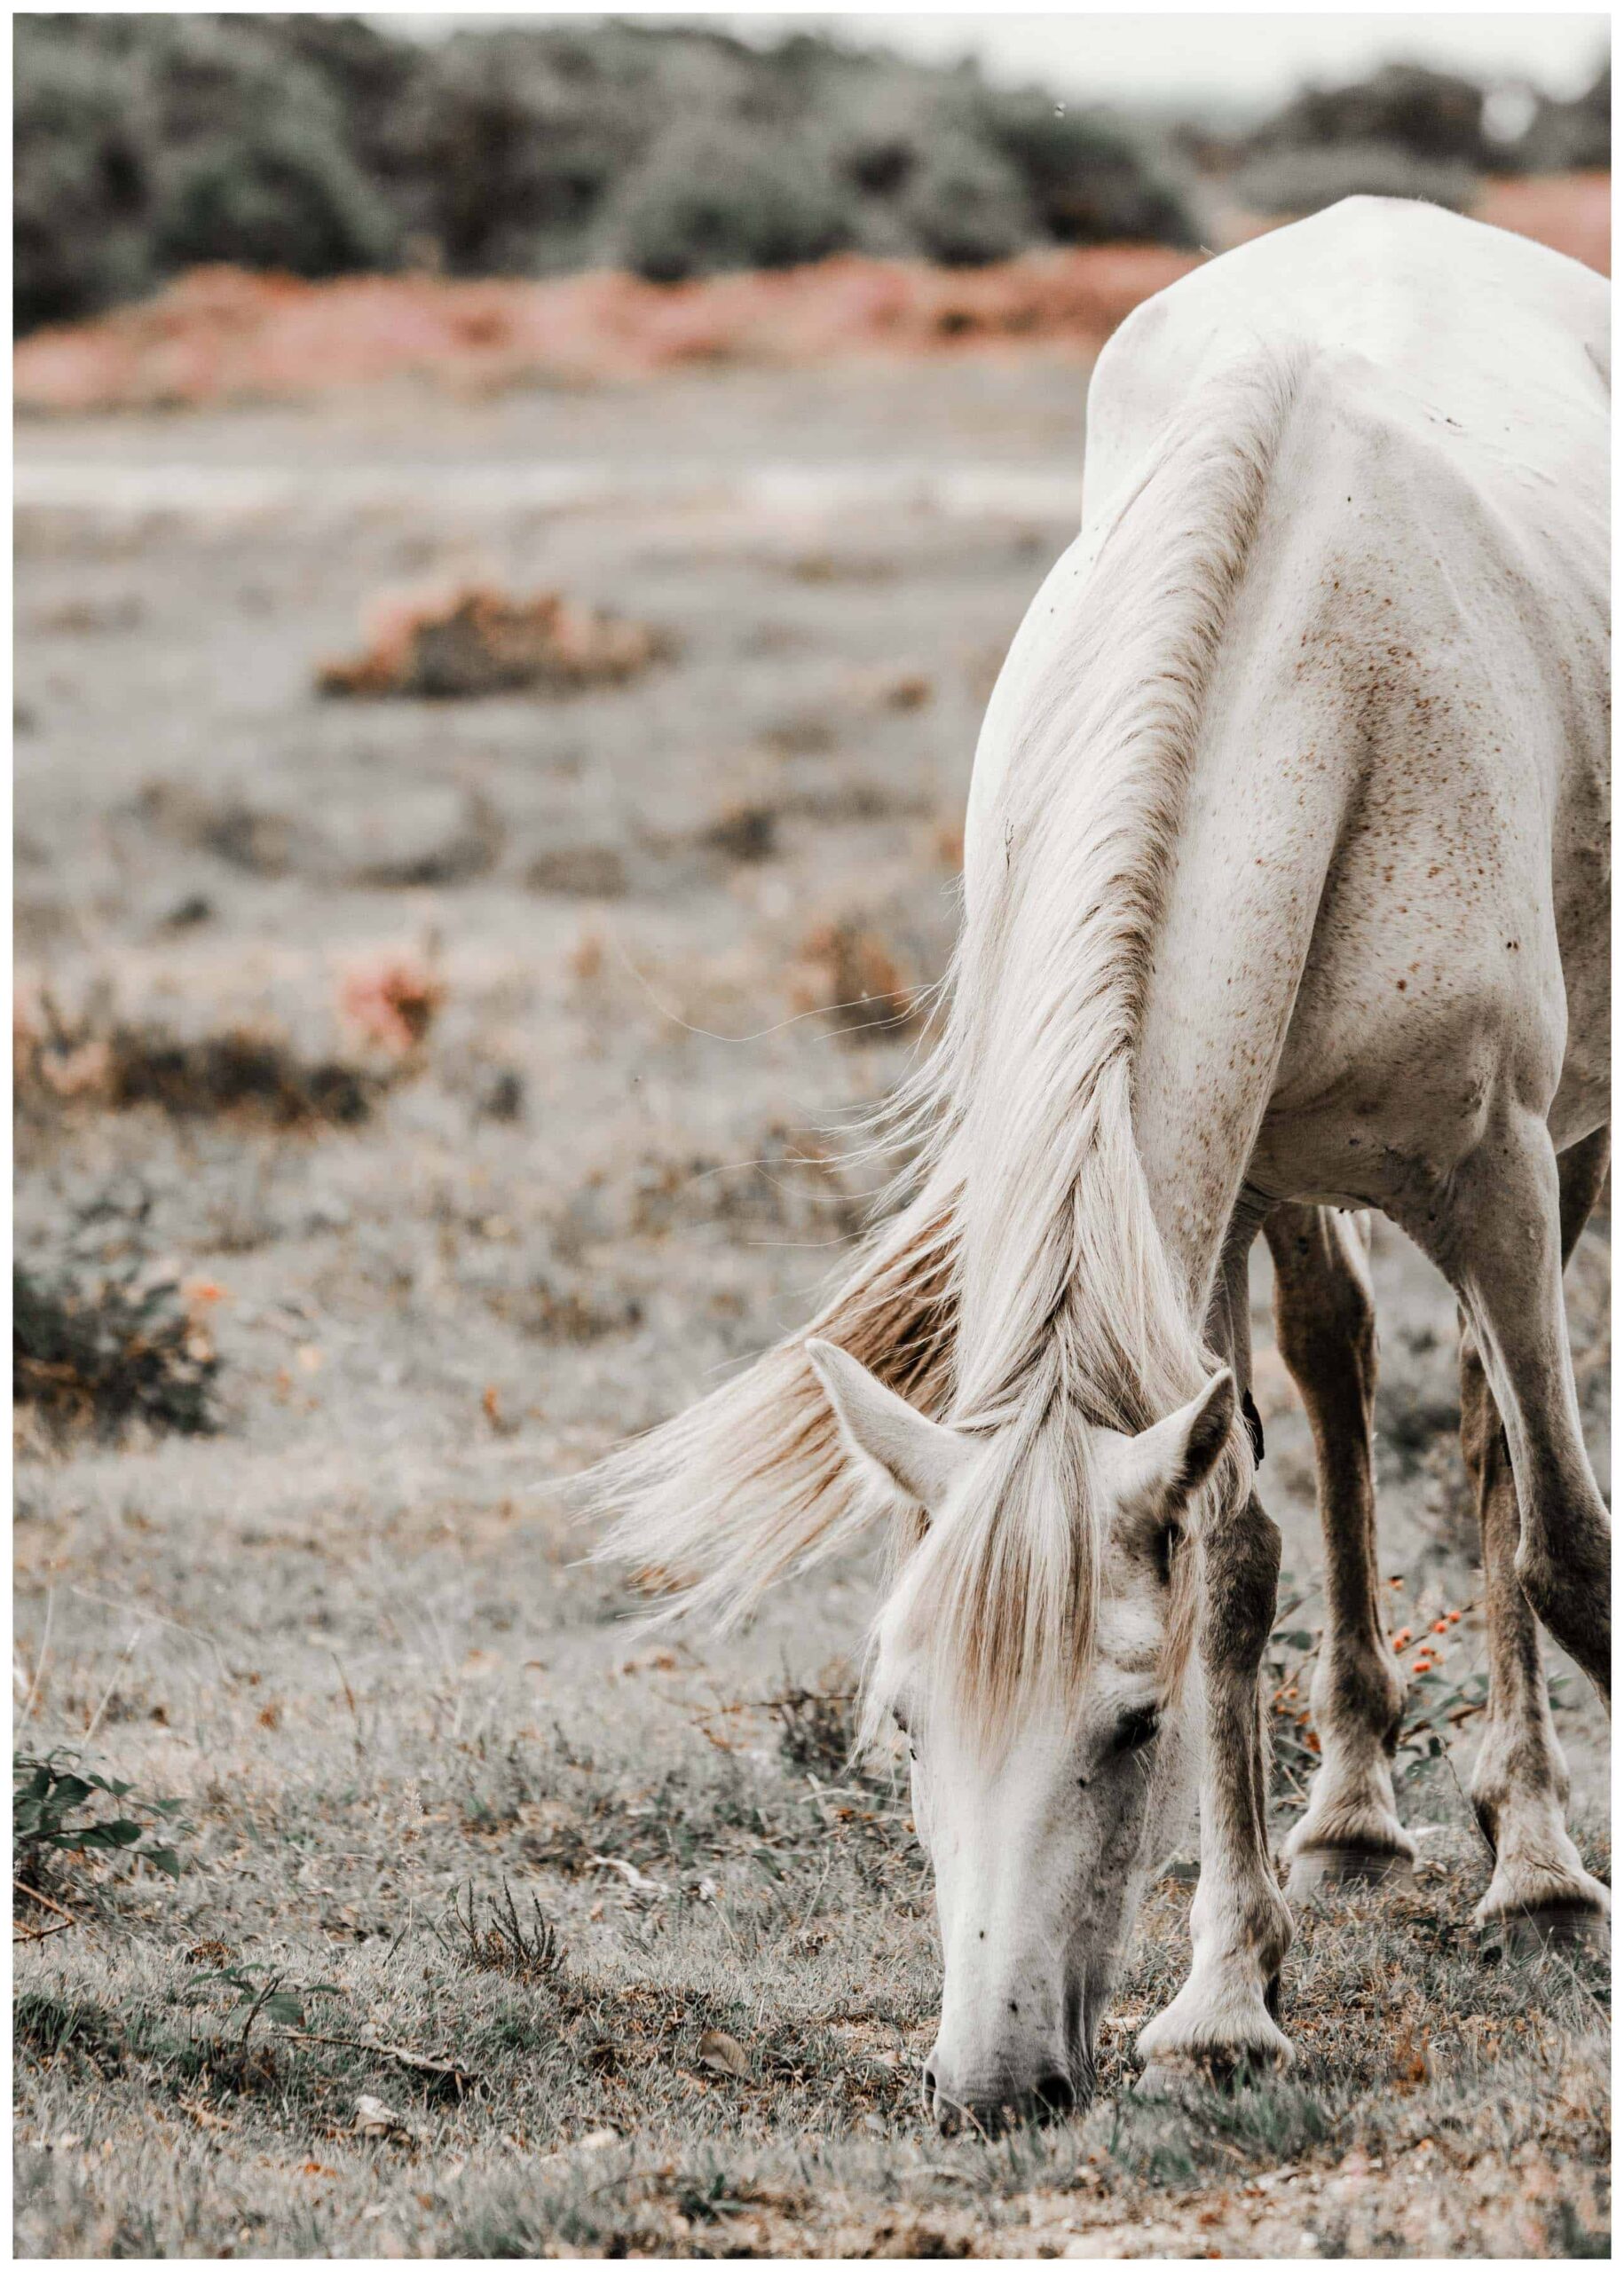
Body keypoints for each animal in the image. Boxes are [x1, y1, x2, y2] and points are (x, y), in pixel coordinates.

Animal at [579, 195, 1608, 2126]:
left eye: (1125, 1730)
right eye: (904, 1719)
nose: (990, 2081)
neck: (1325, 679)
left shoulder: (1506, 1170)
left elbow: (1569, 1542)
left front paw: (1536, 1877)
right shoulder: (1179, 1197)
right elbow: (1234, 1558)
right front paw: (1224, 1998)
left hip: (1559, 1149)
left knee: (1497, 1443)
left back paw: (1529, 1855)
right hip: (1280, 1188)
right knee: (1341, 1371)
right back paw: (1354, 1814)